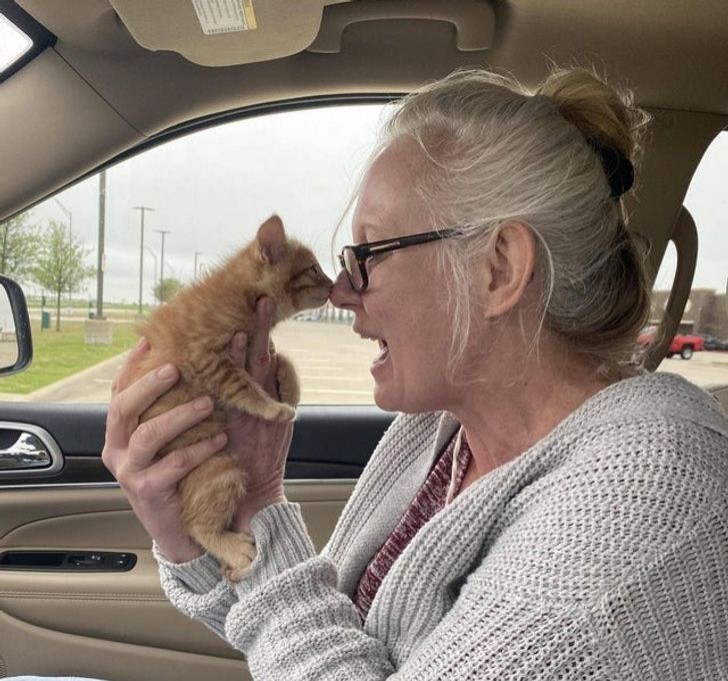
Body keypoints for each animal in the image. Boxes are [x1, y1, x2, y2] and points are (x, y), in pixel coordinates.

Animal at [118, 216, 332, 580]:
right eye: (314, 269)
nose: (333, 284)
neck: (240, 293)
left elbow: (284, 360)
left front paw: (290, 390)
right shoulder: (208, 357)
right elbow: (243, 386)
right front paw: (273, 408)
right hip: (221, 468)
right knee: (196, 527)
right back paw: (235, 551)